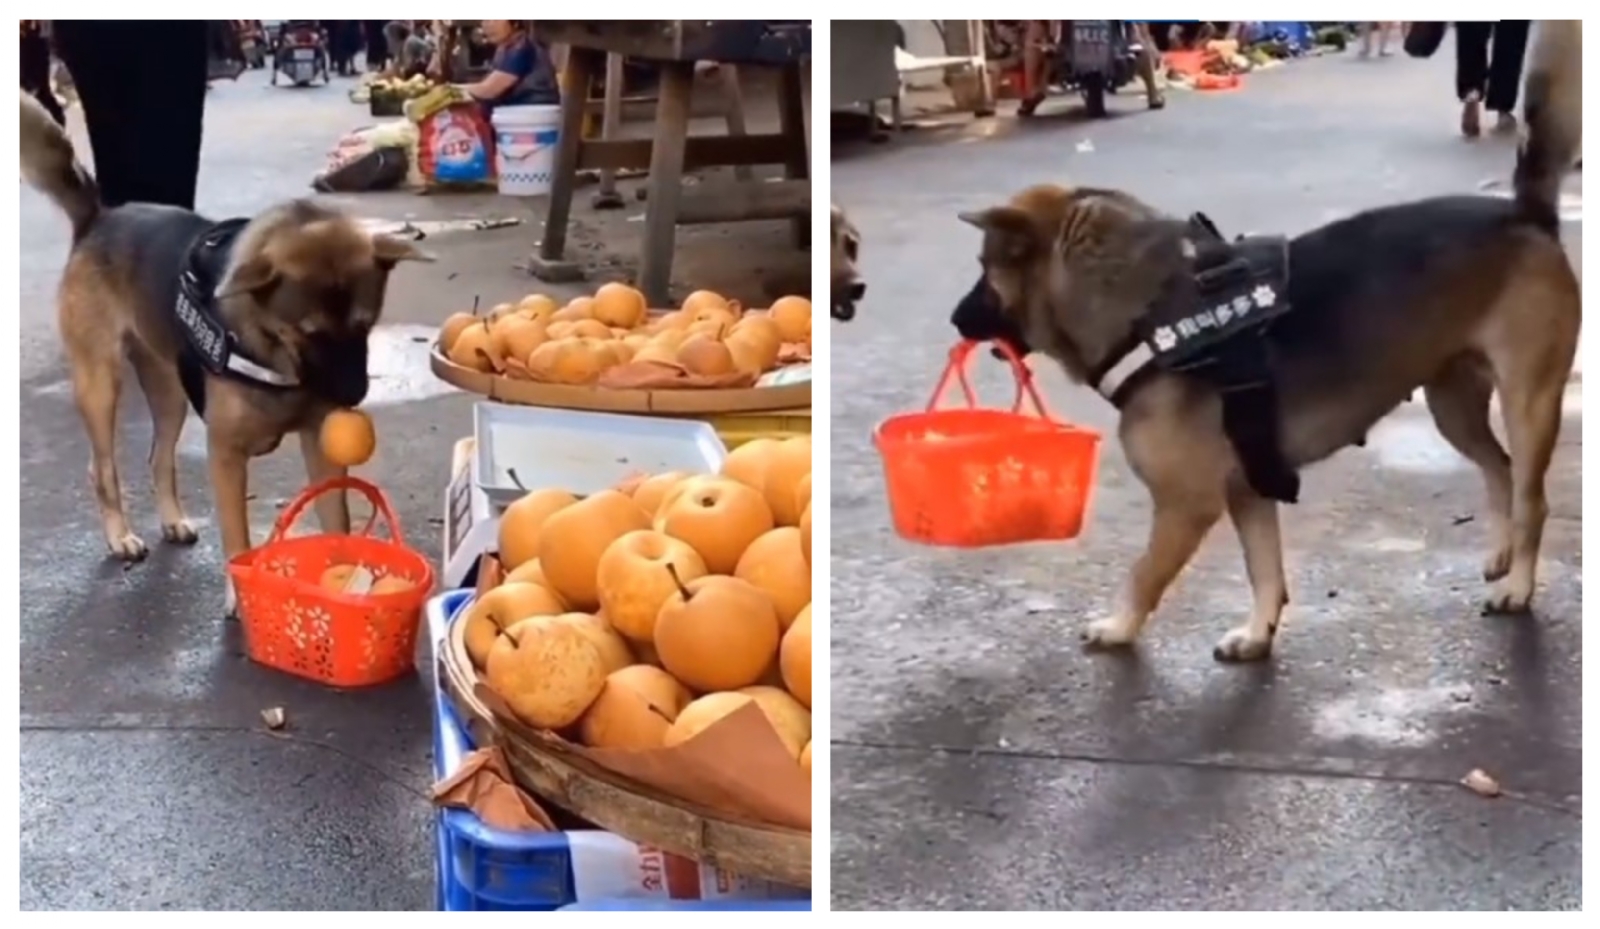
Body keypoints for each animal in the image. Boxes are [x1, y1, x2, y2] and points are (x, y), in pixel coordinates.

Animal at [21, 90, 432, 610]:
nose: (352, 395)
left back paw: (171, 519)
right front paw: (241, 596)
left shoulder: (319, 446)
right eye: (310, 333)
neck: (275, 356)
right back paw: (119, 535)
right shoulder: (226, 457)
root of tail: (100, 218)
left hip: (170, 392)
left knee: (160, 457)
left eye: (365, 326)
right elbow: (237, 537)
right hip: (100, 384)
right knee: (103, 467)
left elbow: (334, 517)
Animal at [953, 54, 1580, 658]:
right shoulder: (1249, 490)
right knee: (1499, 469)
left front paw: (1119, 626)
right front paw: (1258, 634)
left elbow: (1144, 574)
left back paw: (1518, 585)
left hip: (1528, 403)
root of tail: (1524, 214)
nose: (956, 319)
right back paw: (1501, 553)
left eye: (986, 271)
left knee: (1532, 498)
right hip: (1452, 407)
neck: (1148, 310)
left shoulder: (1187, 506)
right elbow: (1264, 570)